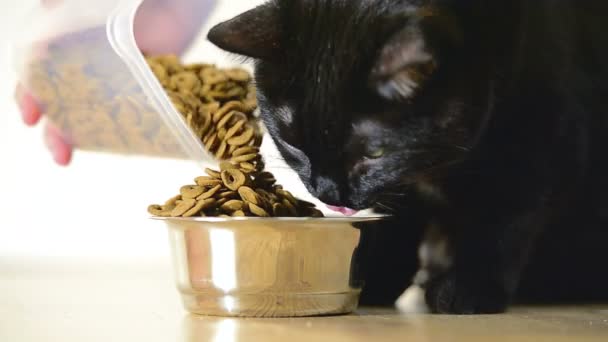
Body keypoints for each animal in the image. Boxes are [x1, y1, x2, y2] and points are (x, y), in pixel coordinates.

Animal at [208, 0, 608, 314]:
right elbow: (398, 227)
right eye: (293, 145)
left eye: (374, 153)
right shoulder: (401, 191)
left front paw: (468, 289)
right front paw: (375, 280)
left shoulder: (544, 145)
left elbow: (504, 222)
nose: (327, 192)